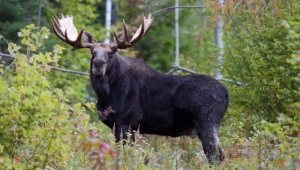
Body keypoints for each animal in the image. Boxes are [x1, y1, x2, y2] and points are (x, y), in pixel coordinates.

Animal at [52, 13, 229, 163]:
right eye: (92, 52)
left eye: (112, 52)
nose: (98, 64)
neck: (105, 94)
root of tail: (227, 94)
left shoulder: (126, 122)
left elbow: (125, 155)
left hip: (207, 121)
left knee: (215, 154)